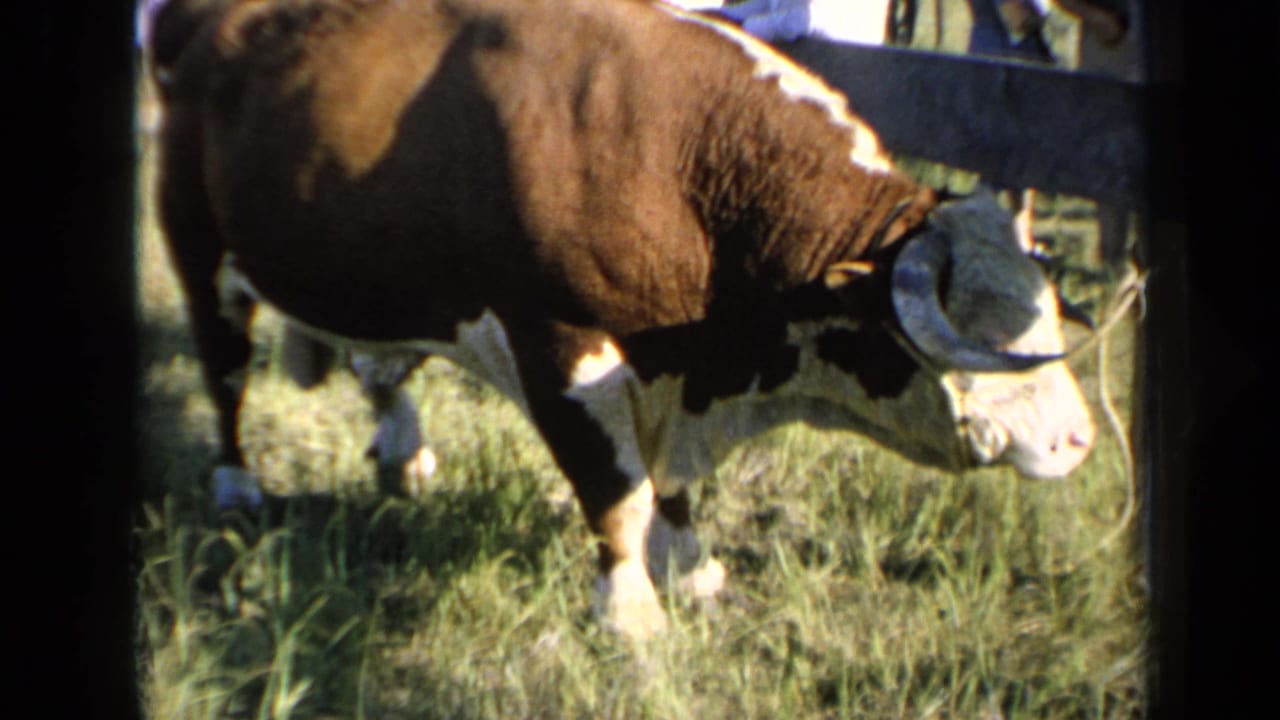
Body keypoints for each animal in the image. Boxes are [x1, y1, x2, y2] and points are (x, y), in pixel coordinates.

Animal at [147, 0, 1096, 638]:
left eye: (1042, 310)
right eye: (980, 334)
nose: (1080, 440)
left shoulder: (672, 372)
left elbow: (669, 484)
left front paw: (693, 565)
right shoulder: (560, 347)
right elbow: (616, 492)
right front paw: (630, 610)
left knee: (378, 364)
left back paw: (403, 451)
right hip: (200, 251)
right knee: (223, 372)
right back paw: (237, 483)